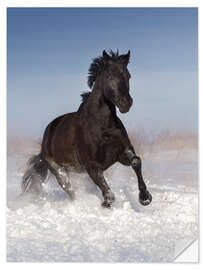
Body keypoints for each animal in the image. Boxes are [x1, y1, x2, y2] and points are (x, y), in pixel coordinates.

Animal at [22, 49, 152, 208]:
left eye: (128, 75)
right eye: (109, 76)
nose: (125, 103)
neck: (103, 127)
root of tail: (45, 139)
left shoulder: (122, 154)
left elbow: (136, 162)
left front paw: (145, 198)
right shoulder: (92, 167)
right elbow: (109, 194)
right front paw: (105, 204)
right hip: (58, 170)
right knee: (69, 189)